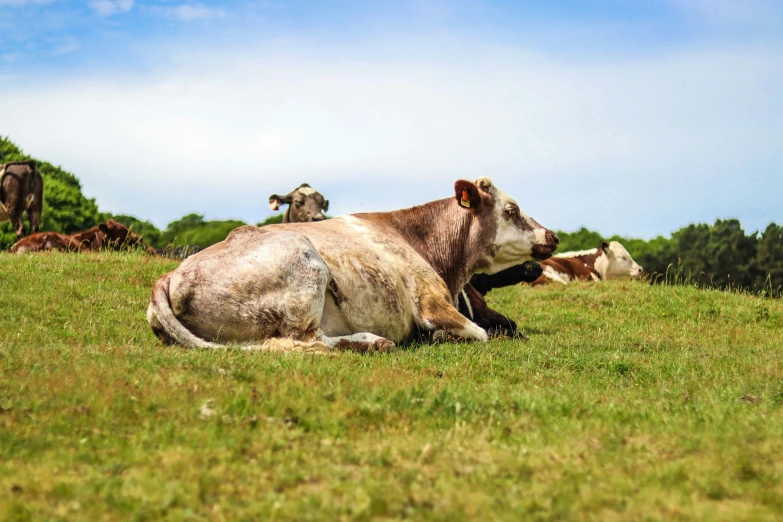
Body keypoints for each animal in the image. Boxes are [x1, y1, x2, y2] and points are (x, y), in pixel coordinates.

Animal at [149, 177, 564, 352]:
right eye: (511, 210)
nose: (553, 236)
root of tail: (167, 278)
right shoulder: (433, 304)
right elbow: (480, 333)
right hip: (307, 267)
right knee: (304, 342)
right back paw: (370, 342)